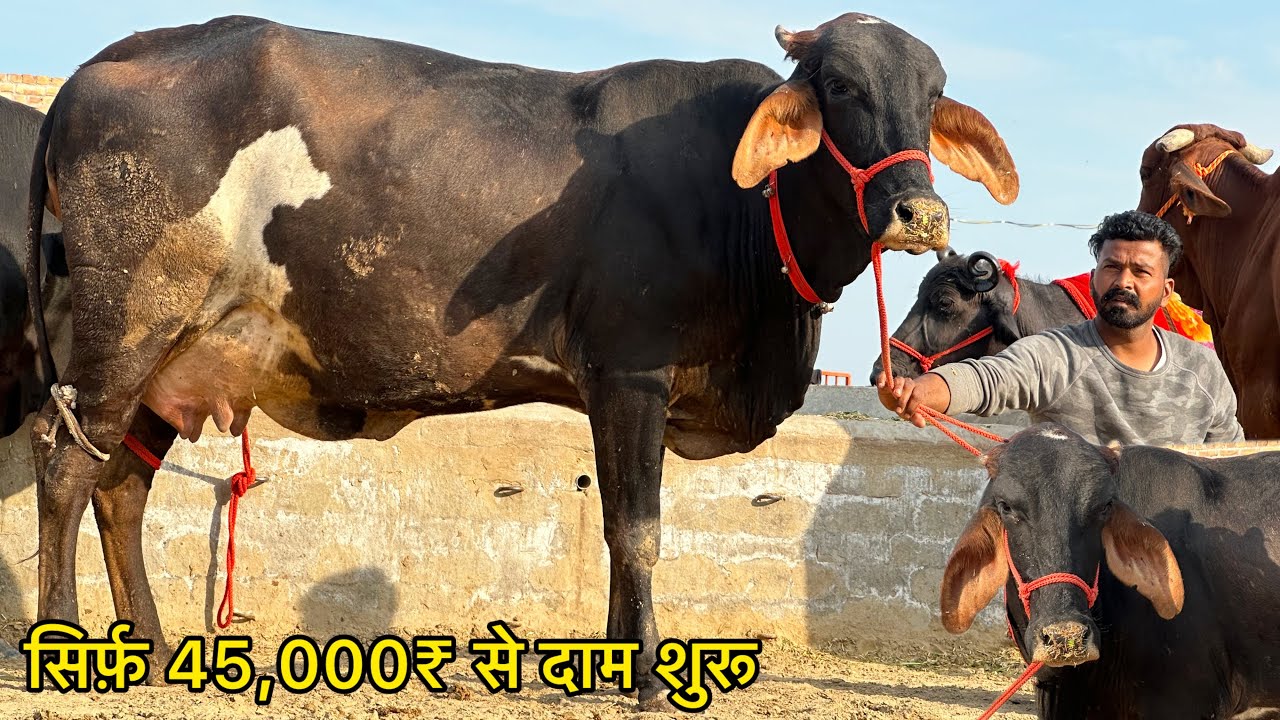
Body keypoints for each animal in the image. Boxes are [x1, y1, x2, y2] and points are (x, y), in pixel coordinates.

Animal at [27, 14, 1019, 705]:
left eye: (933, 94)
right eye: (842, 85)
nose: (921, 212)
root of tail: (102, 63)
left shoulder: (621, 391)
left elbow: (621, 528)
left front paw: (617, 664)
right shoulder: (630, 371)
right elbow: (638, 530)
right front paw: (647, 677)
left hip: (181, 355)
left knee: (121, 486)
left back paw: (157, 651)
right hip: (131, 327)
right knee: (66, 463)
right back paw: (61, 637)